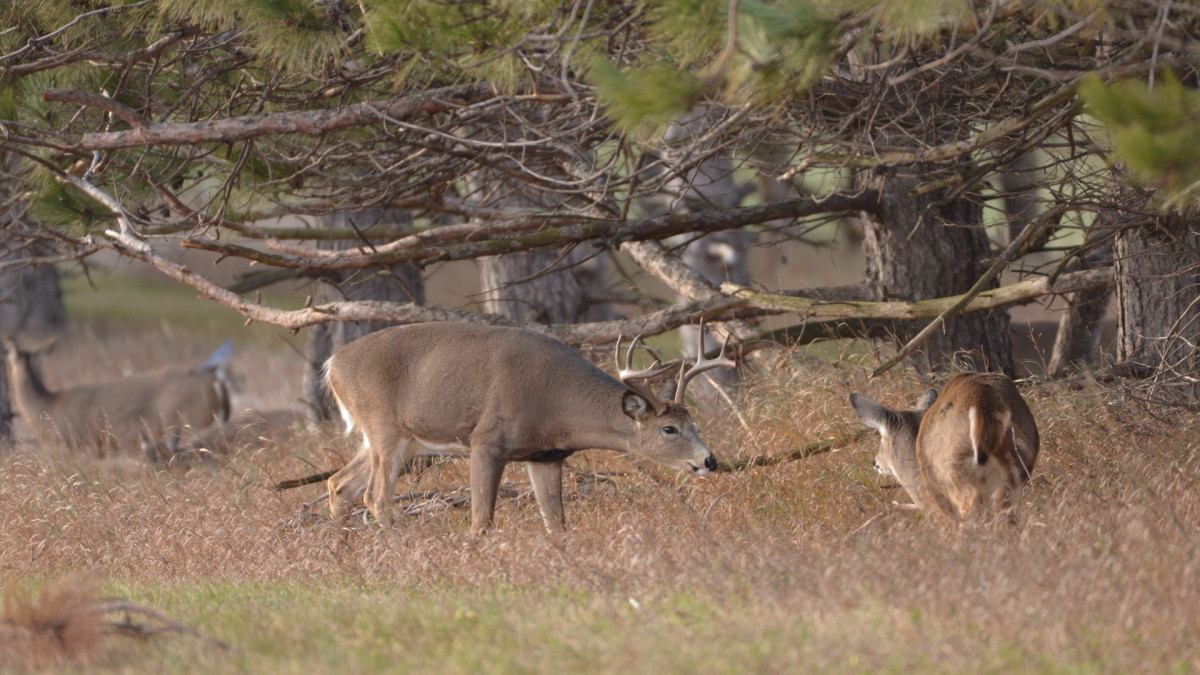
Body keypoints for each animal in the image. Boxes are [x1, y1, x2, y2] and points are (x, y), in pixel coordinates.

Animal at [296, 319, 734, 530]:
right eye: (668, 429)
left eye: (692, 421)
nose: (710, 460)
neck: (556, 402)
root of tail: (332, 365)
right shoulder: (487, 441)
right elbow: (481, 520)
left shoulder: (545, 456)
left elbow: (556, 524)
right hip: (385, 428)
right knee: (376, 498)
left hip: (389, 439)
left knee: (338, 484)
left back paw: (345, 558)